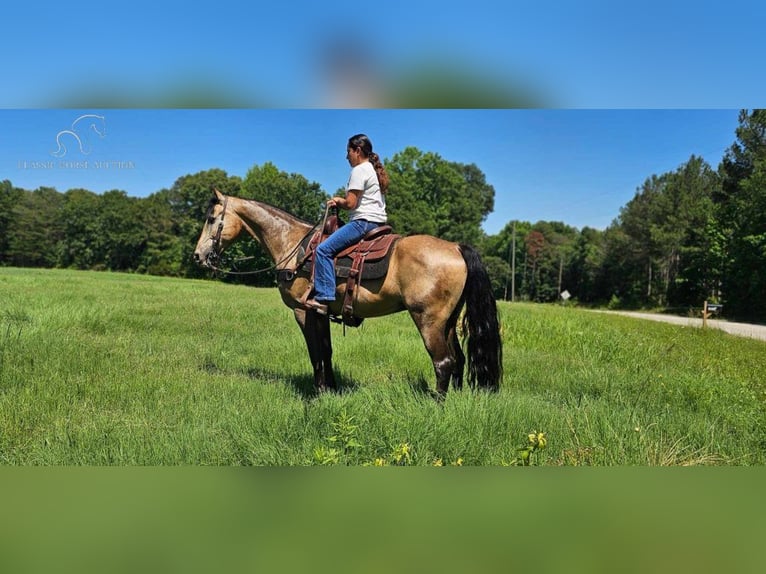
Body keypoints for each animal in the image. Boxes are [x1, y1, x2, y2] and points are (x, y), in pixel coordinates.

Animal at [192, 189, 504, 396]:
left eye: (211, 218)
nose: (197, 256)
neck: (293, 245)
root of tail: (456, 247)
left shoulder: (303, 311)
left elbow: (315, 353)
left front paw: (318, 393)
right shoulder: (320, 312)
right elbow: (326, 351)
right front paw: (331, 390)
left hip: (429, 320)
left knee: (444, 362)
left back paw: (437, 405)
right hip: (449, 321)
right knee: (459, 360)